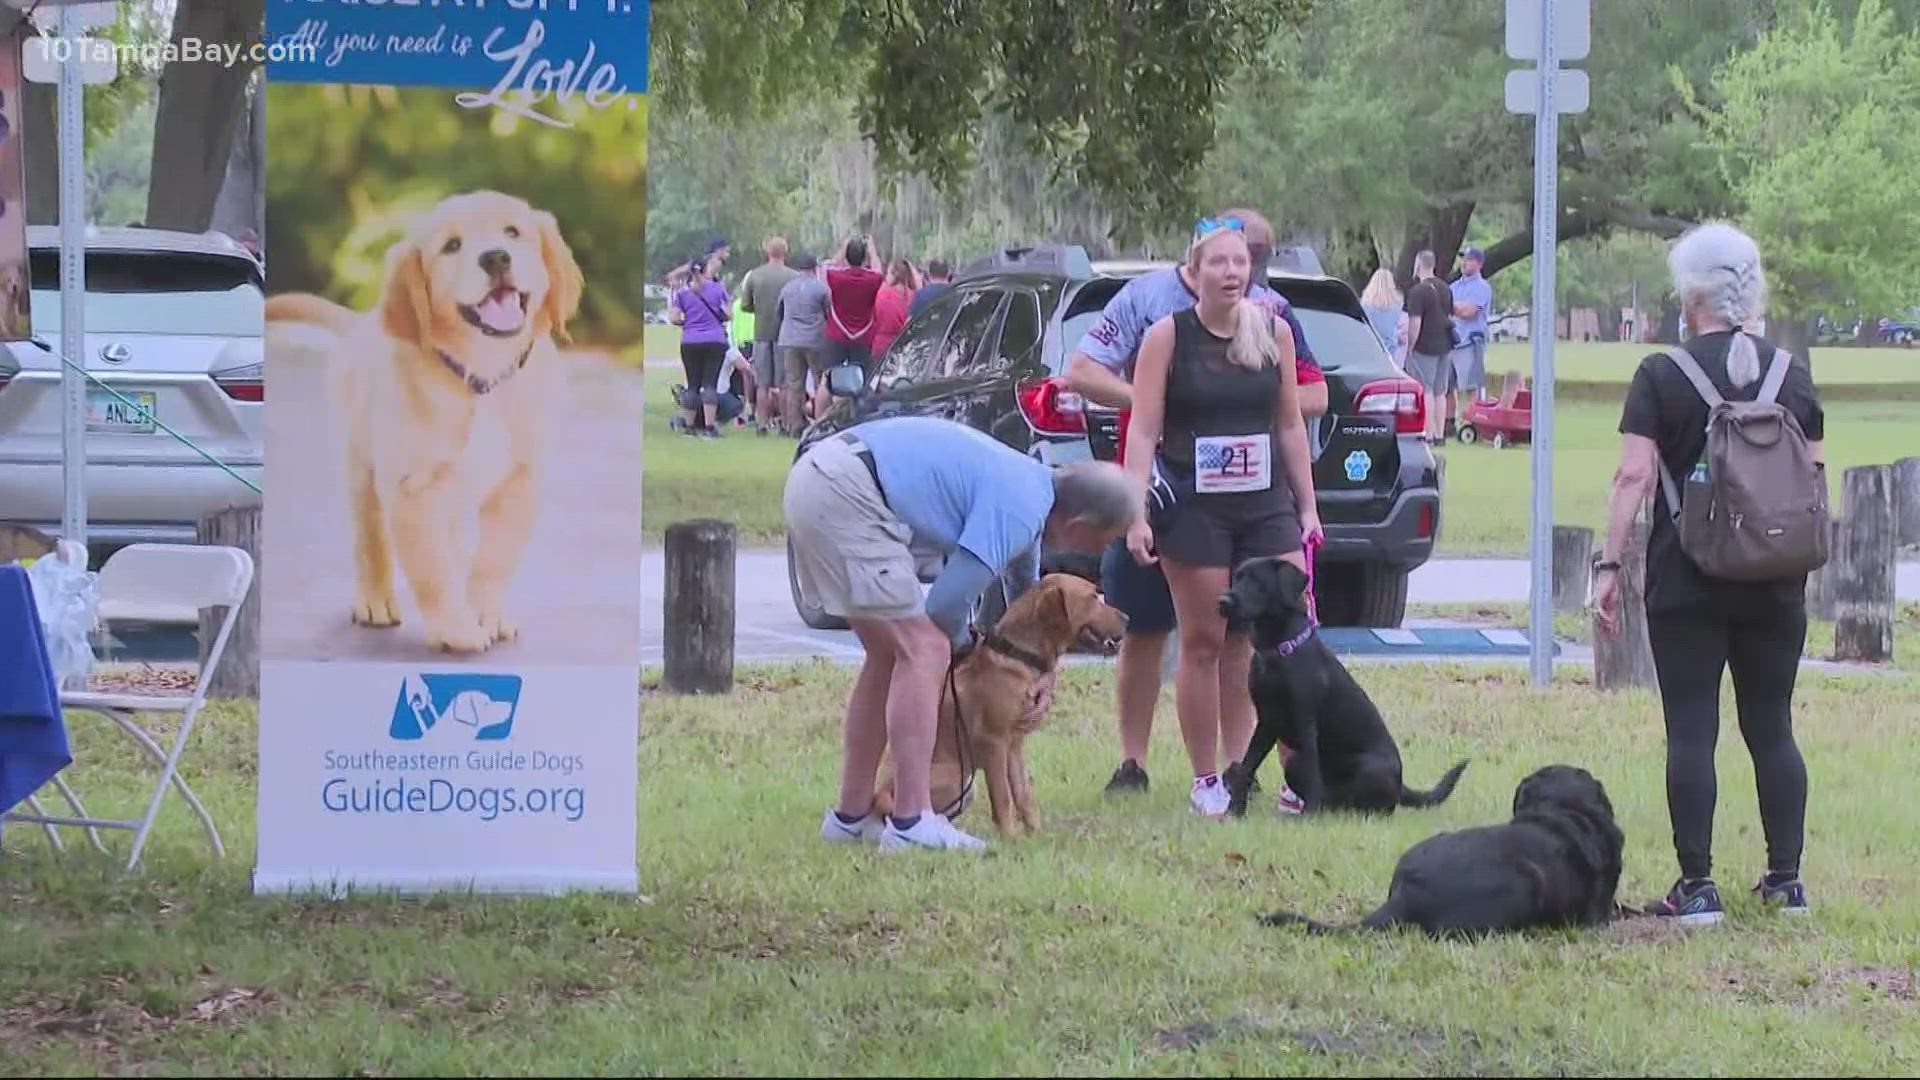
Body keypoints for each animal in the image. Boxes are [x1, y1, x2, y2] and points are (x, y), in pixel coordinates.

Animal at [264, 189, 583, 653]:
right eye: (451, 246)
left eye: (513, 232)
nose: (496, 258)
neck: (482, 375)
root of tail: (363, 321)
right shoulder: (411, 488)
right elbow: (432, 570)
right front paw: (455, 630)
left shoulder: (519, 483)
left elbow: (493, 561)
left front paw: (485, 615)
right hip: (363, 466)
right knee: (371, 539)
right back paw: (375, 600)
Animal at [871, 576, 1121, 837]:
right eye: (1093, 597)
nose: (1127, 618)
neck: (1017, 654)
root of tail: (882, 792)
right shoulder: (994, 743)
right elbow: (1002, 797)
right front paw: (1010, 837)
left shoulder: (1014, 747)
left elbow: (1022, 793)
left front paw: (1035, 834)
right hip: (956, 777)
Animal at [1213, 553, 1466, 814]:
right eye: (1237, 577)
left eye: (1257, 581)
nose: (1223, 601)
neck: (1279, 650)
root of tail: (1401, 784)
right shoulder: (1266, 721)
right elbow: (1247, 766)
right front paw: (1234, 811)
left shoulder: (1306, 720)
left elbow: (1312, 773)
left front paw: (1308, 815)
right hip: (1294, 762)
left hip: (1365, 767)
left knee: (1376, 804)